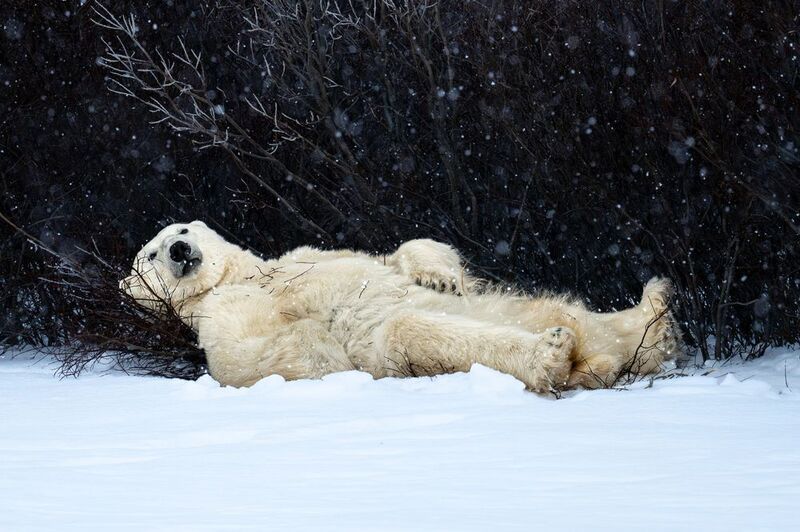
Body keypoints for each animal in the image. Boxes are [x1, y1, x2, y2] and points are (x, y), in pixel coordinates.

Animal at [121, 221, 683, 392]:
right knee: (413, 328)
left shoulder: (305, 255)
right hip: (406, 347)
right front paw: (318, 344)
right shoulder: (221, 308)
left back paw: (654, 312)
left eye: (182, 228)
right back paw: (553, 356)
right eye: (149, 254)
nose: (179, 250)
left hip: (524, 306)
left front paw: (440, 273)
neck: (251, 276)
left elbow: (390, 255)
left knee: (581, 316)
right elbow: (244, 355)